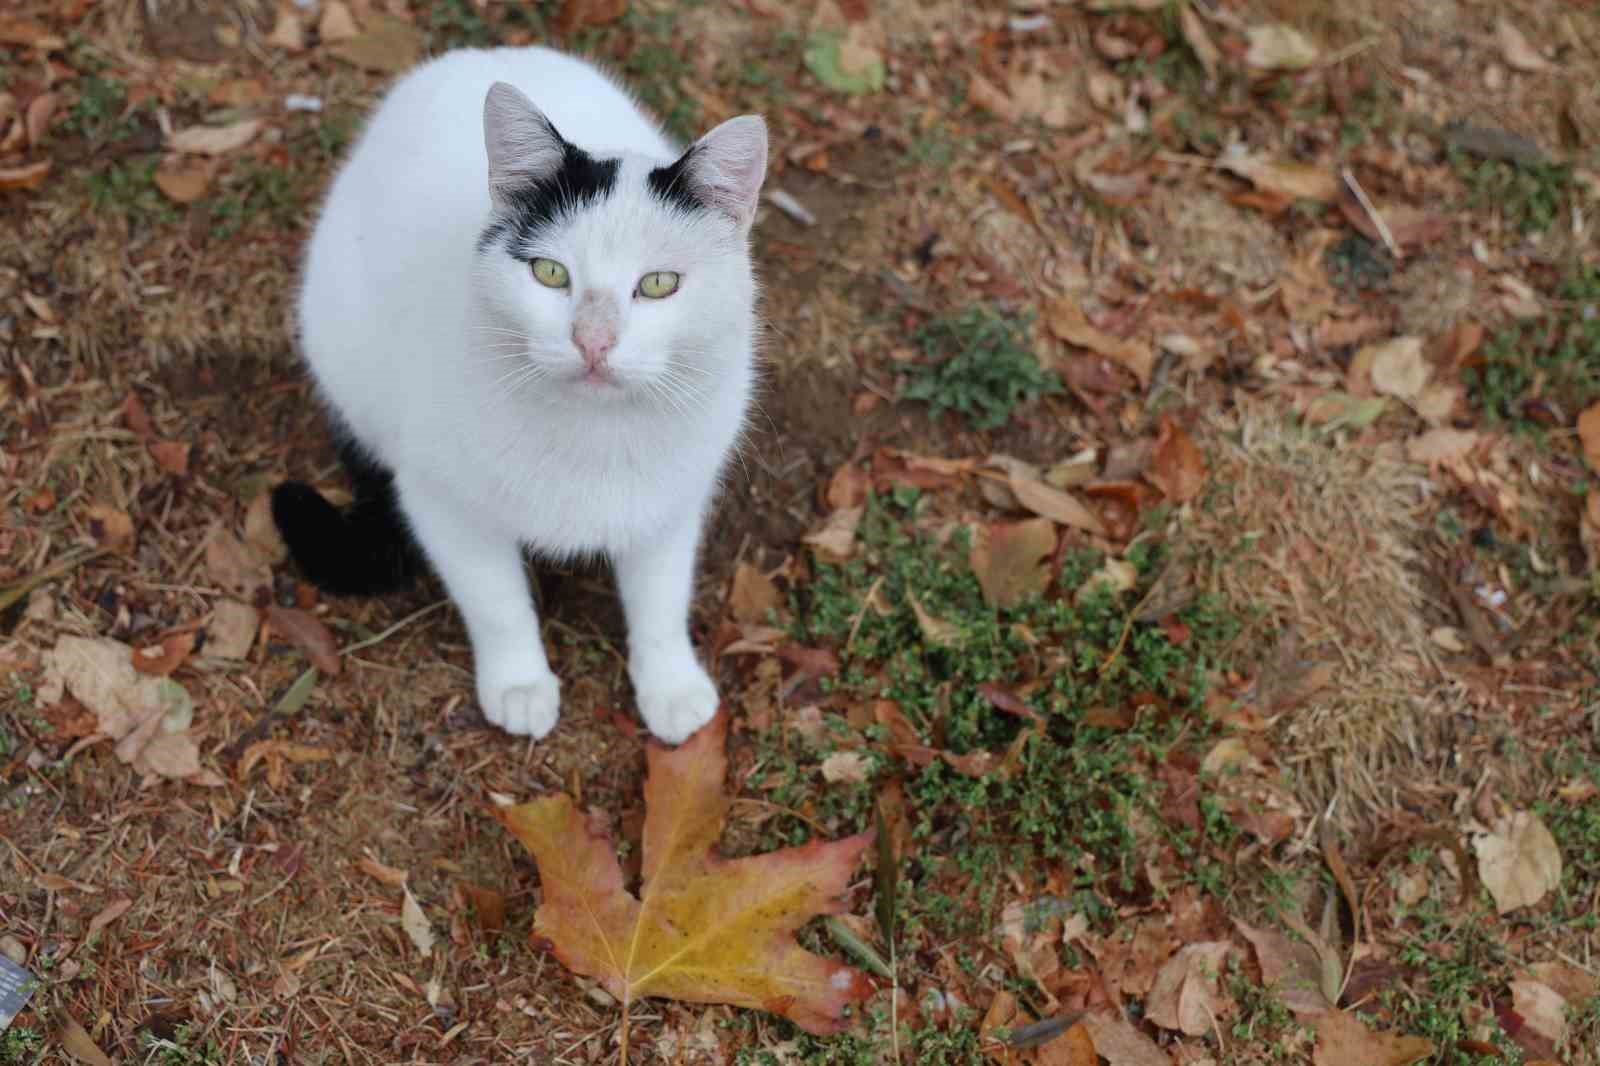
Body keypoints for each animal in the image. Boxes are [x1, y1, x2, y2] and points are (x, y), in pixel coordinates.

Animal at [272, 47, 771, 739]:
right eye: (550, 273)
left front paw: (670, 686)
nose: (593, 340)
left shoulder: (669, 507)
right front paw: (520, 685)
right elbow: (497, 602)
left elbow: (661, 600)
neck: (593, 435)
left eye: (659, 284)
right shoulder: (443, 505)